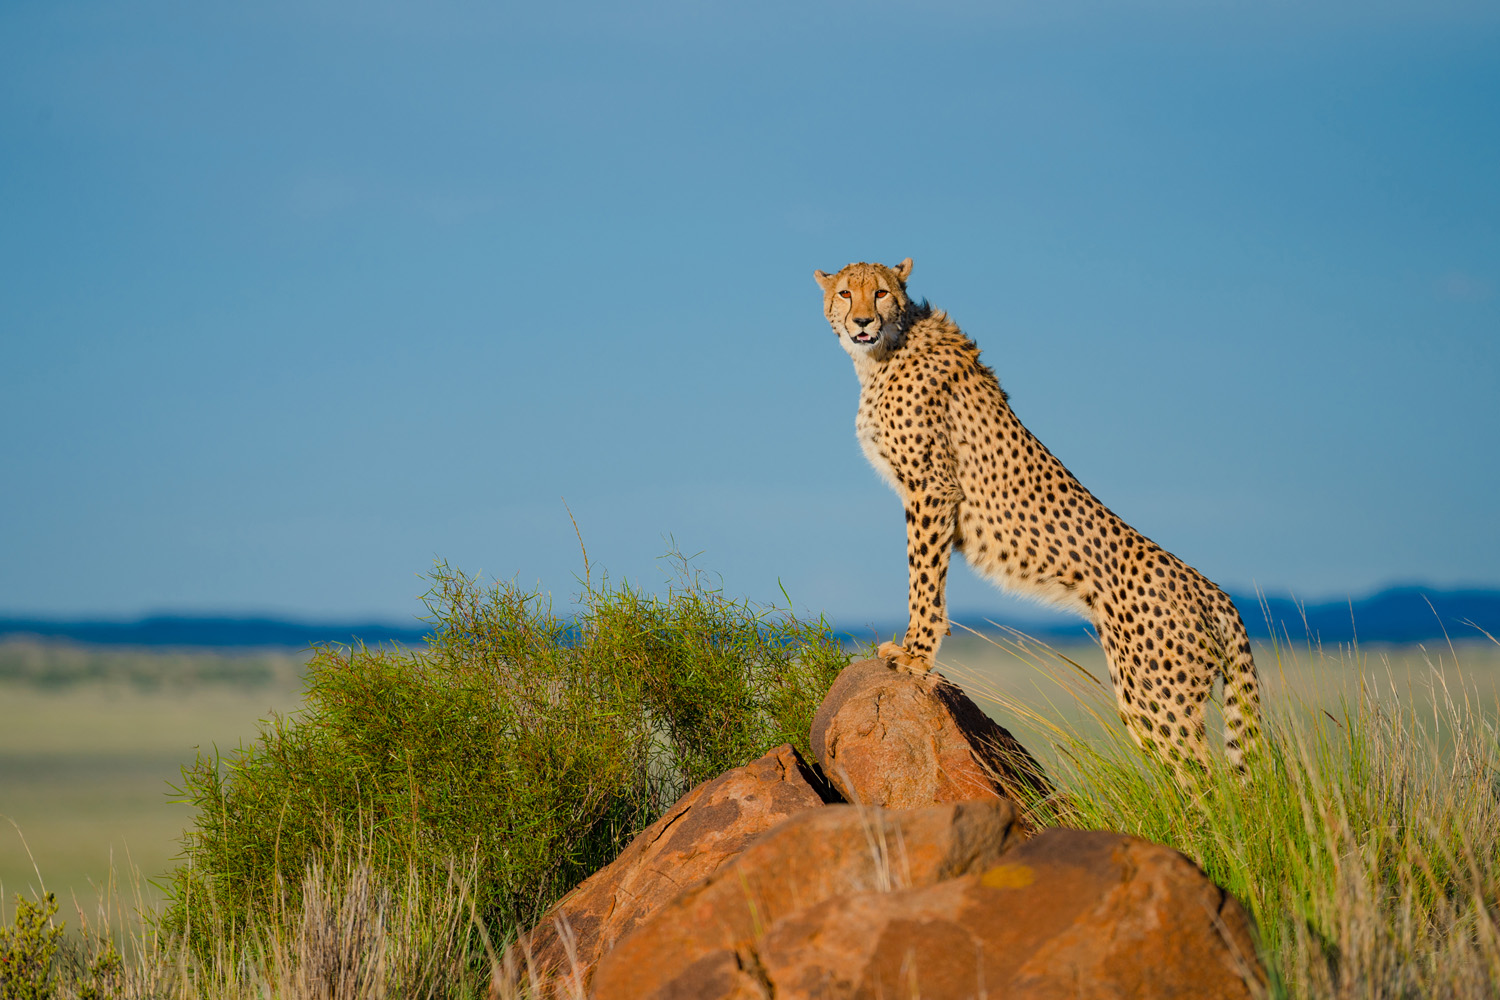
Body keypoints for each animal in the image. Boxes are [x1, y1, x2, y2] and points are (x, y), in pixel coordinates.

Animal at [814, 257, 1262, 775]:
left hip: (1156, 697)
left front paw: (915, 656)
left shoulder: (932, 488)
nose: (863, 321)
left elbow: (924, 578)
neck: (885, 352)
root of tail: (1214, 592)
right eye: (846, 293)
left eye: (882, 292)